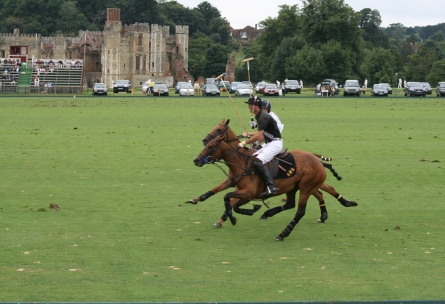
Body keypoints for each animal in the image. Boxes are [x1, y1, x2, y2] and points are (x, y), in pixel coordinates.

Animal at [194, 132, 332, 241]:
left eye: (211, 146)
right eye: (206, 145)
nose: (196, 160)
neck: (242, 165)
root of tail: (318, 161)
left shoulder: (249, 193)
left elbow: (227, 197)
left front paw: (235, 217)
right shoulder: (242, 191)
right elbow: (232, 203)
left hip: (306, 188)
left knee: (300, 212)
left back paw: (282, 234)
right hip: (292, 187)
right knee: (290, 204)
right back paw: (267, 213)